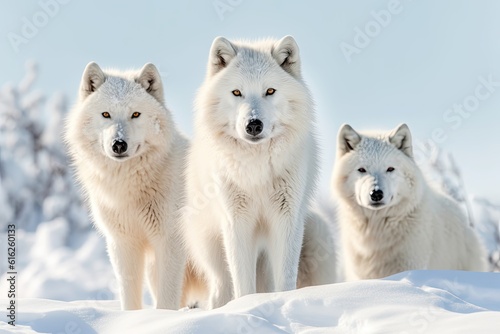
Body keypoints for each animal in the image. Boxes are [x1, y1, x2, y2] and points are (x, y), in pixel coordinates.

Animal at [63, 62, 188, 308]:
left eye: (135, 114)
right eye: (106, 114)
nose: (119, 144)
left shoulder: (170, 243)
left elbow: (167, 299)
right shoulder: (122, 244)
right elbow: (129, 297)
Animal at [182, 36, 334, 308]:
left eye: (270, 91)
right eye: (237, 92)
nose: (253, 124)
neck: (257, 168)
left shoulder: (286, 219)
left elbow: (285, 280)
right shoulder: (236, 222)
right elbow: (243, 283)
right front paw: (246, 306)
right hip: (215, 254)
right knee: (220, 289)